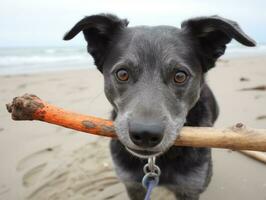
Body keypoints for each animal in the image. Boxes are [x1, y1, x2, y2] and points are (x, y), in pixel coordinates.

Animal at [64, 14, 256, 200]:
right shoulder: (133, 185)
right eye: (122, 73)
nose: (145, 135)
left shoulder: (189, 189)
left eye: (180, 76)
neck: (154, 160)